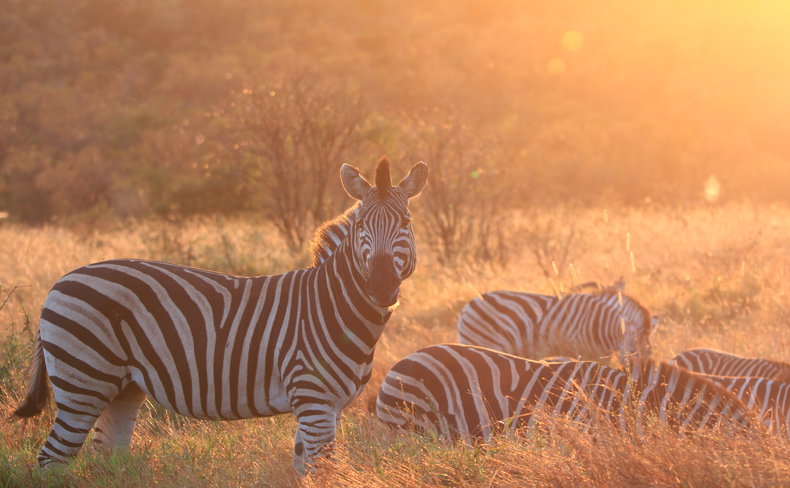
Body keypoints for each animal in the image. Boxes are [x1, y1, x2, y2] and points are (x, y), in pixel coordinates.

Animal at [10, 158, 428, 474]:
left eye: (406, 223)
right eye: (361, 226)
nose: (381, 286)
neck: (334, 308)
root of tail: (60, 280)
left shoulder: (328, 408)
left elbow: (303, 470)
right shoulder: (315, 402)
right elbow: (324, 473)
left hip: (122, 388)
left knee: (106, 460)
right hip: (82, 381)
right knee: (52, 459)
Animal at [456, 285, 659, 363]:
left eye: (650, 353)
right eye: (633, 351)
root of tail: (470, 304)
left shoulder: (603, 354)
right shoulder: (583, 352)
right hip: (488, 342)